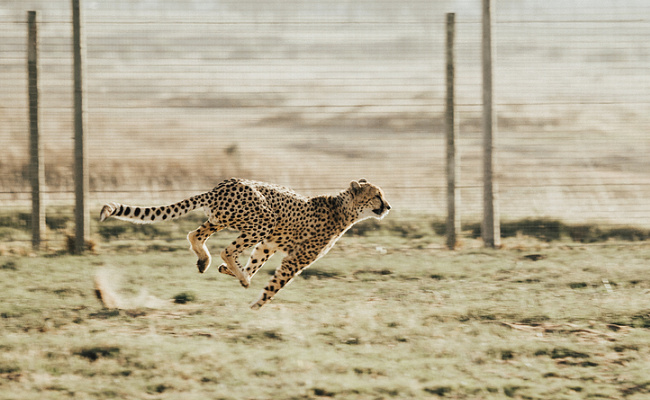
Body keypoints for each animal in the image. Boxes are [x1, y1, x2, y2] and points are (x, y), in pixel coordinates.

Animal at [98, 178, 388, 310]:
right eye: (377, 196)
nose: (388, 206)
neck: (343, 208)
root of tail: (223, 185)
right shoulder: (294, 259)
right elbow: (274, 285)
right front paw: (255, 306)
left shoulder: (269, 244)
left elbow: (256, 262)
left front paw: (237, 274)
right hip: (264, 219)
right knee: (226, 249)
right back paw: (235, 273)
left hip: (223, 219)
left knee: (195, 235)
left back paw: (208, 262)